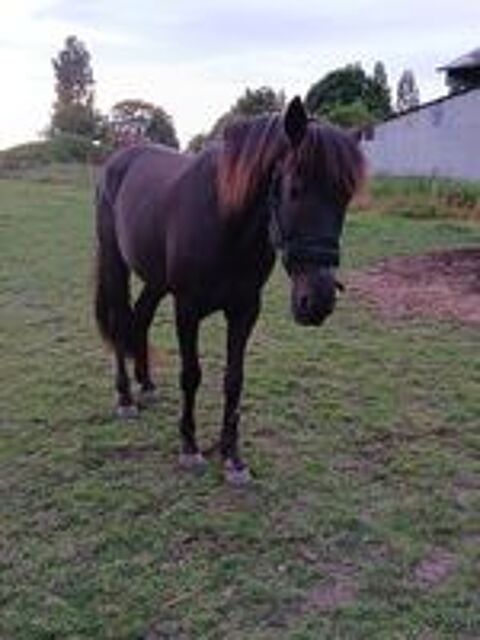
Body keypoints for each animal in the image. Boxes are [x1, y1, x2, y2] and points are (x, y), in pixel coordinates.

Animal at [94, 97, 365, 484]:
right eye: (294, 188)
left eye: (345, 197)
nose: (318, 301)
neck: (224, 222)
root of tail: (118, 160)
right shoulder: (187, 309)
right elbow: (191, 375)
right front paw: (189, 447)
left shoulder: (244, 310)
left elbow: (234, 380)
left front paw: (232, 457)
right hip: (115, 261)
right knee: (120, 319)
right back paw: (126, 399)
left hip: (156, 279)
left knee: (141, 317)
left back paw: (146, 385)